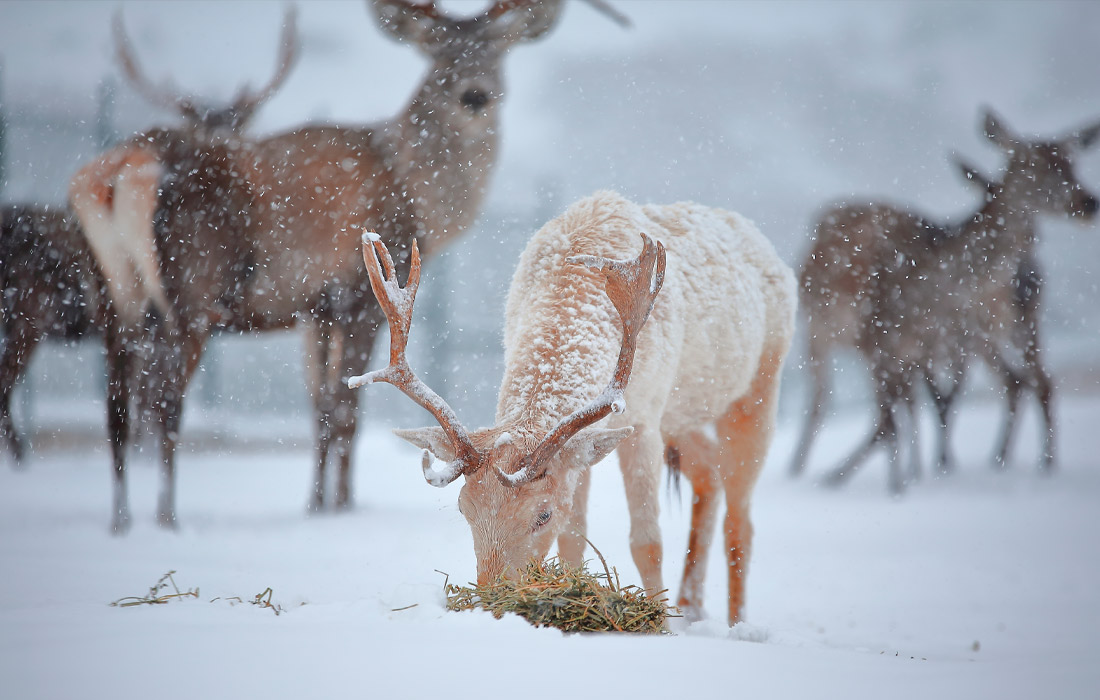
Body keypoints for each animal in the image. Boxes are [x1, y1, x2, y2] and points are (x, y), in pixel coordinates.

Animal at [70, 0, 629, 532]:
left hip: (115, 296)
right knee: (163, 401)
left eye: (498, 47)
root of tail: (120, 171)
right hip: (191, 291)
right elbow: (346, 412)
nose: (475, 95)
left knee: (117, 406)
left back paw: (121, 519)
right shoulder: (359, 295)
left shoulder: (316, 310)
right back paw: (167, 517)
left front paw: (316, 504)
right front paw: (343, 506)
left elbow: (320, 405)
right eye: (436, 51)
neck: (418, 198)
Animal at [356, 190, 796, 625]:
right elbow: (573, 539)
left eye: (543, 514)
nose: (492, 602)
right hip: (683, 416)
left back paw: (738, 626)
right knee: (709, 474)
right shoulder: (585, 447)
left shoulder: (645, 419)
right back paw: (691, 607)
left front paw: (659, 621)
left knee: (741, 516)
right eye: (464, 508)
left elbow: (648, 542)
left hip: (759, 383)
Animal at [809, 110, 1100, 493]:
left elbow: (916, 409)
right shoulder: (892, 339)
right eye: (1032, 166)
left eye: (1072, 164)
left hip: (1004, 329)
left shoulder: (928, 343)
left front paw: (913, 476)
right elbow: (911, 411)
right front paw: (907, 479)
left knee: (1026, 382)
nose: (1088, 203)